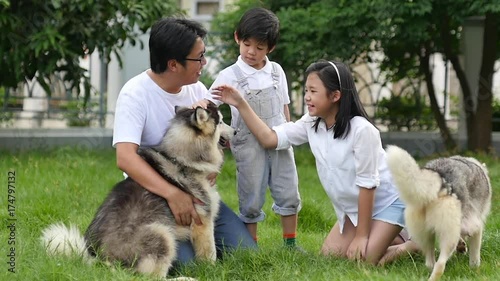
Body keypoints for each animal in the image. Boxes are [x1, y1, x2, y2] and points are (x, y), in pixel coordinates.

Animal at [40, 101, 234, 278]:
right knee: (151, 277)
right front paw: (212, 270)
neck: (181, 159)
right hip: (162, 234)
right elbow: (210, 253)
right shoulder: (203, 222)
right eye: (221, 121)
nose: (236, 131)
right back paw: (185, 278)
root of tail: (98, 259)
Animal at [386, 145, 492, 278]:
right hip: (448, 239)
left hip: (425, 237)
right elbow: (475, 255)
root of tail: (441, 178)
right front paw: (475, 269)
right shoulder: (475, 227)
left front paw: (461, 247)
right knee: (440, 265)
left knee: (430, 262)